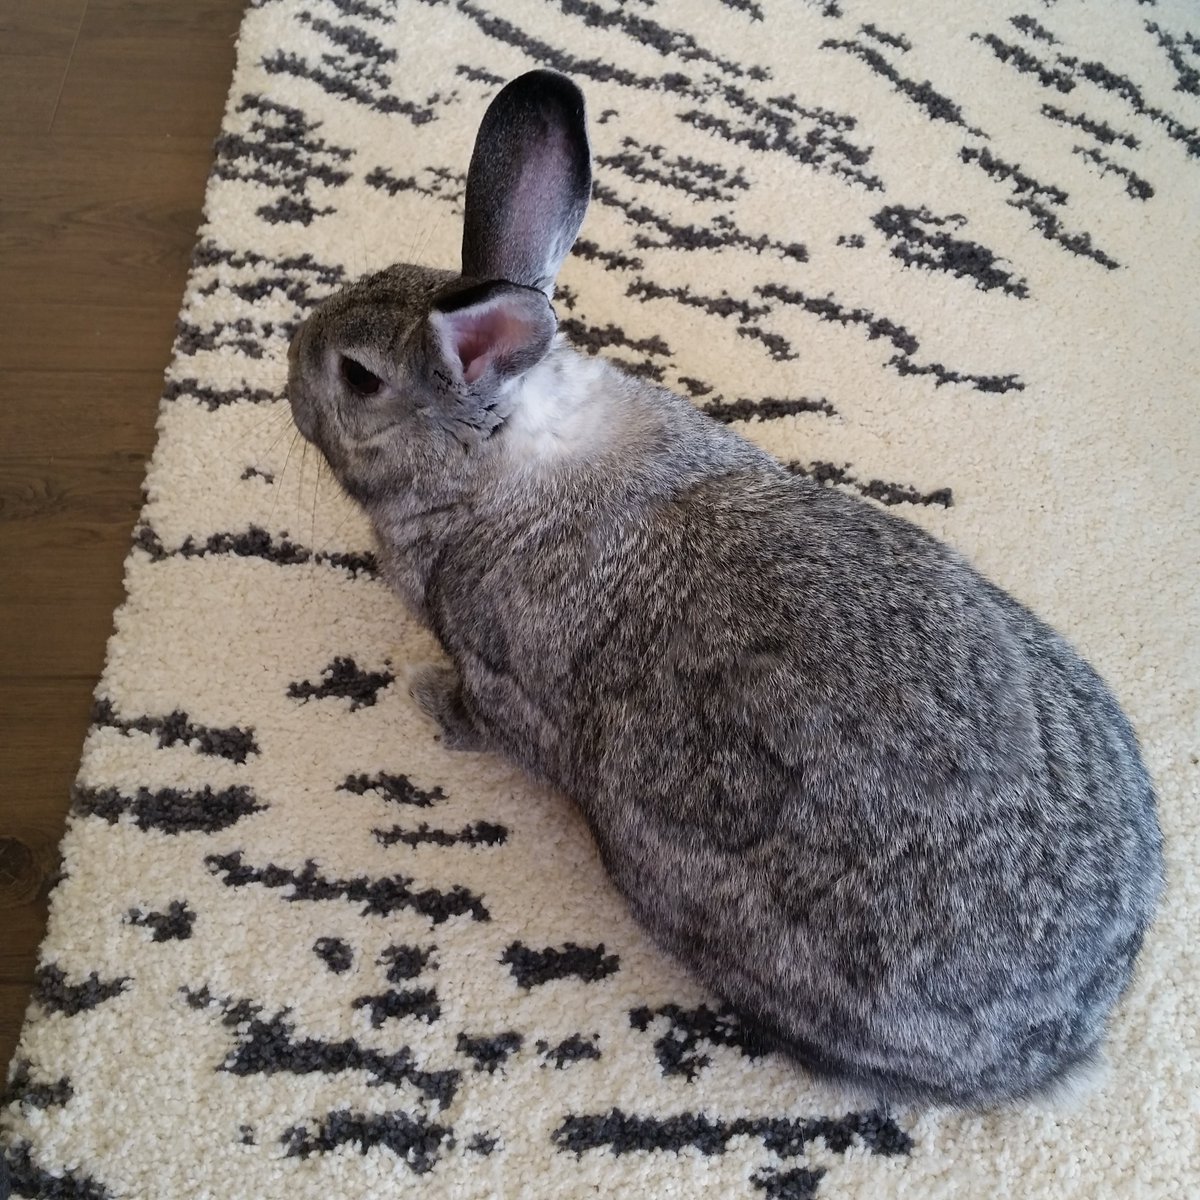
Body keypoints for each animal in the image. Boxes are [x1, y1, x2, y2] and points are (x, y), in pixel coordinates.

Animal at [285, 70, 1164, 1108]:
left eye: (357, 377)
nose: (290, 370)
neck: (494, 458)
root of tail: (1066, 1031)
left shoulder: (501, 673)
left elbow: (483, 712)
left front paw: (424, 697)